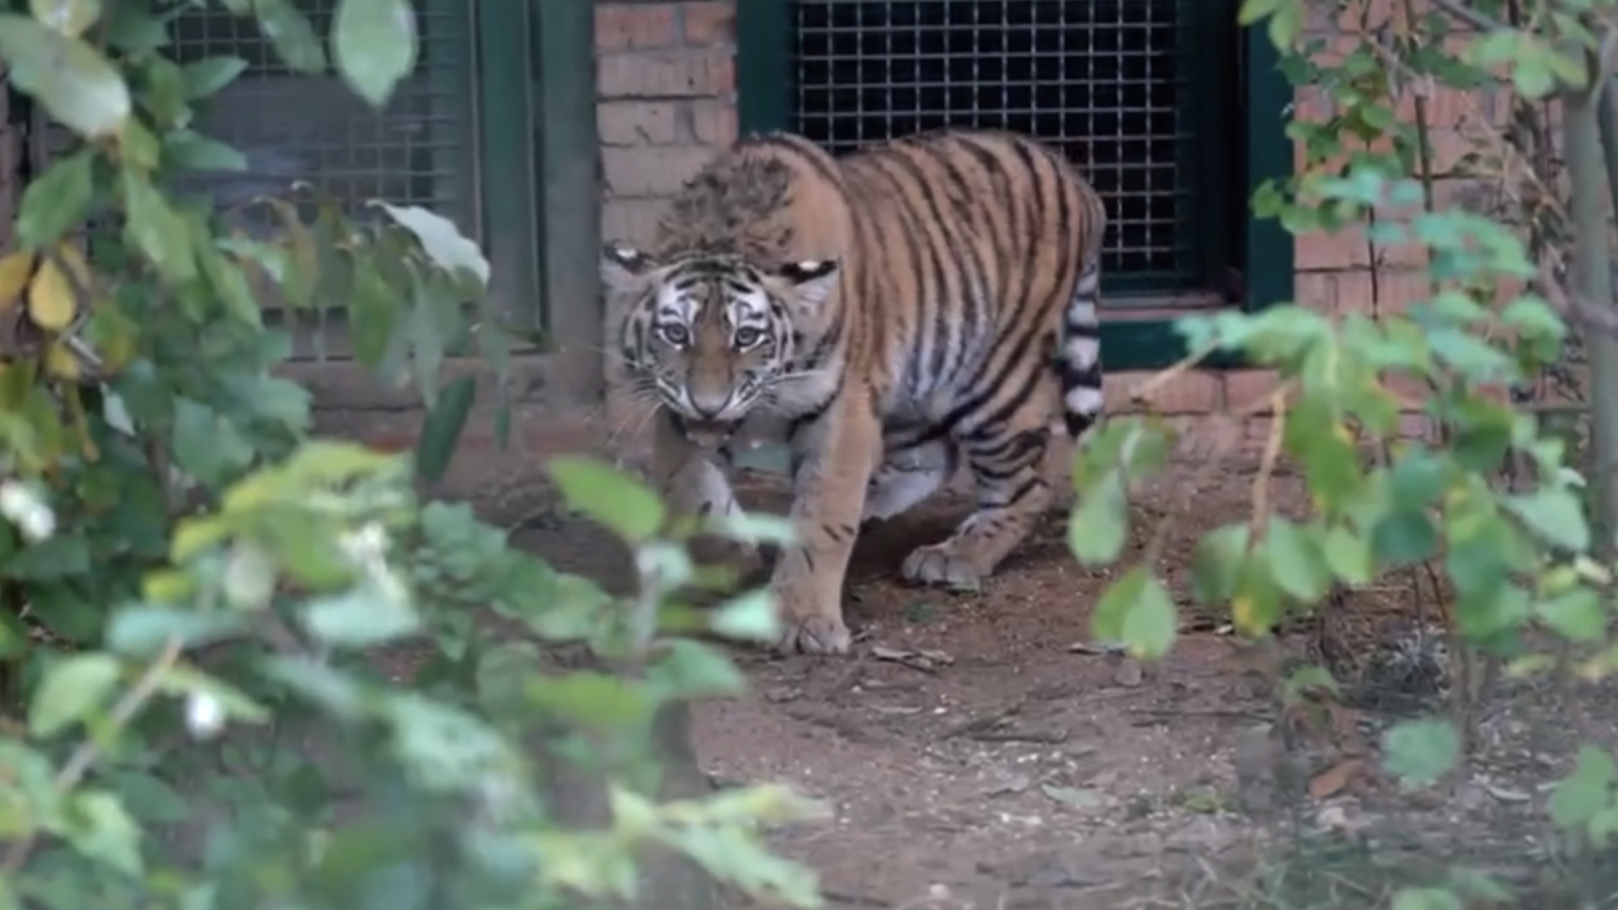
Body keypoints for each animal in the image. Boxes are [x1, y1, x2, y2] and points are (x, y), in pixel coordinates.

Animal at [601, 125, 1106, 650]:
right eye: (675, 333)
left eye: (747, 337)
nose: (708, 405)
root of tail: (1076, 179)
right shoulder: (673, 413)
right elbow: (695, 493)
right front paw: (733, 559)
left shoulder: (839, 407)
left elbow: (823, 514)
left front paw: (802, 619)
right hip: (916, 384)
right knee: (935, 457)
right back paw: (874, 506)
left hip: (993, 384)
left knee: (1029, 484)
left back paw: (955, 556)